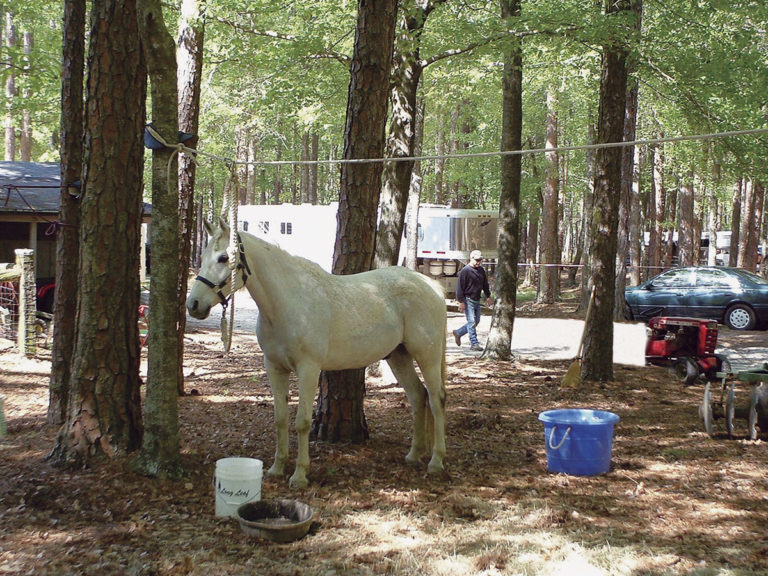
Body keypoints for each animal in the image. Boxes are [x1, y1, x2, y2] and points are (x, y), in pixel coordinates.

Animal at [186, 216, 447, 488]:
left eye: (223, 258)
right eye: (203, 255)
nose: (193, 305)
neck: (288, 302)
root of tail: (431, 286)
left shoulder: (308, 369)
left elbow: (302, 422)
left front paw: (300, 474)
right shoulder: (274, 368)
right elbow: (280, 419)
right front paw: (277, 468)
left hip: (427, 356)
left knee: (436, 399)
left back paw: (436, 461)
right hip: (399, 357)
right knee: (418, 396)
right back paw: (414, 454)